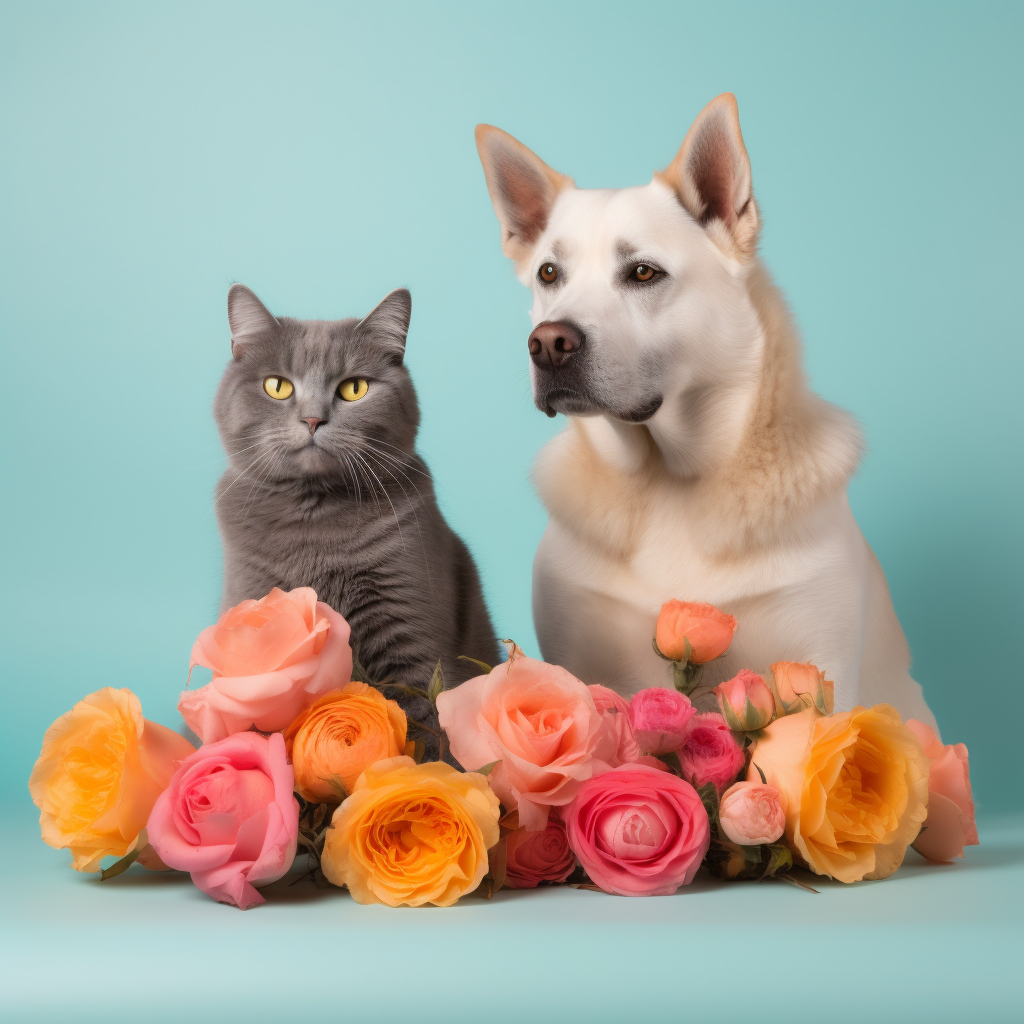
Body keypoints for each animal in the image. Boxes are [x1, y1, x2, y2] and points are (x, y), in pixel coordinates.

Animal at [214, 284, 501, 741]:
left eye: (354, 388)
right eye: (277, 386)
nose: (313, 419)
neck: (315, 522)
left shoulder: (410, 637)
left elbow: (423, 730)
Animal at [477, 90, 937, 729]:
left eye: (643, 272)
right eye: (549, 273)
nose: (547, 343)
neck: (668, 478)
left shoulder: (824, 666)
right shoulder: (575, 658)